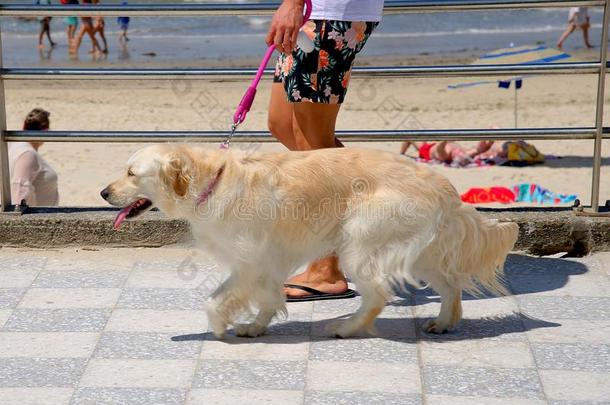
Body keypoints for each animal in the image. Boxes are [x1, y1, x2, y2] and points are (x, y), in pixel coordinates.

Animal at [101, 144, 516, 338]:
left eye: (132, 173)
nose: (104, 192)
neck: (211, 181)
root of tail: (441, 184)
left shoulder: (250, 260)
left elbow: (215, 299)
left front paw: (219, 326)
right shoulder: (265, 262)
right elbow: (268, 297)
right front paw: (255, 326)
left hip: (359, 243)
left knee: (378, 294)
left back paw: (346, 328)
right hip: (418, 250)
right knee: (450, 284)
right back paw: (444, 321)